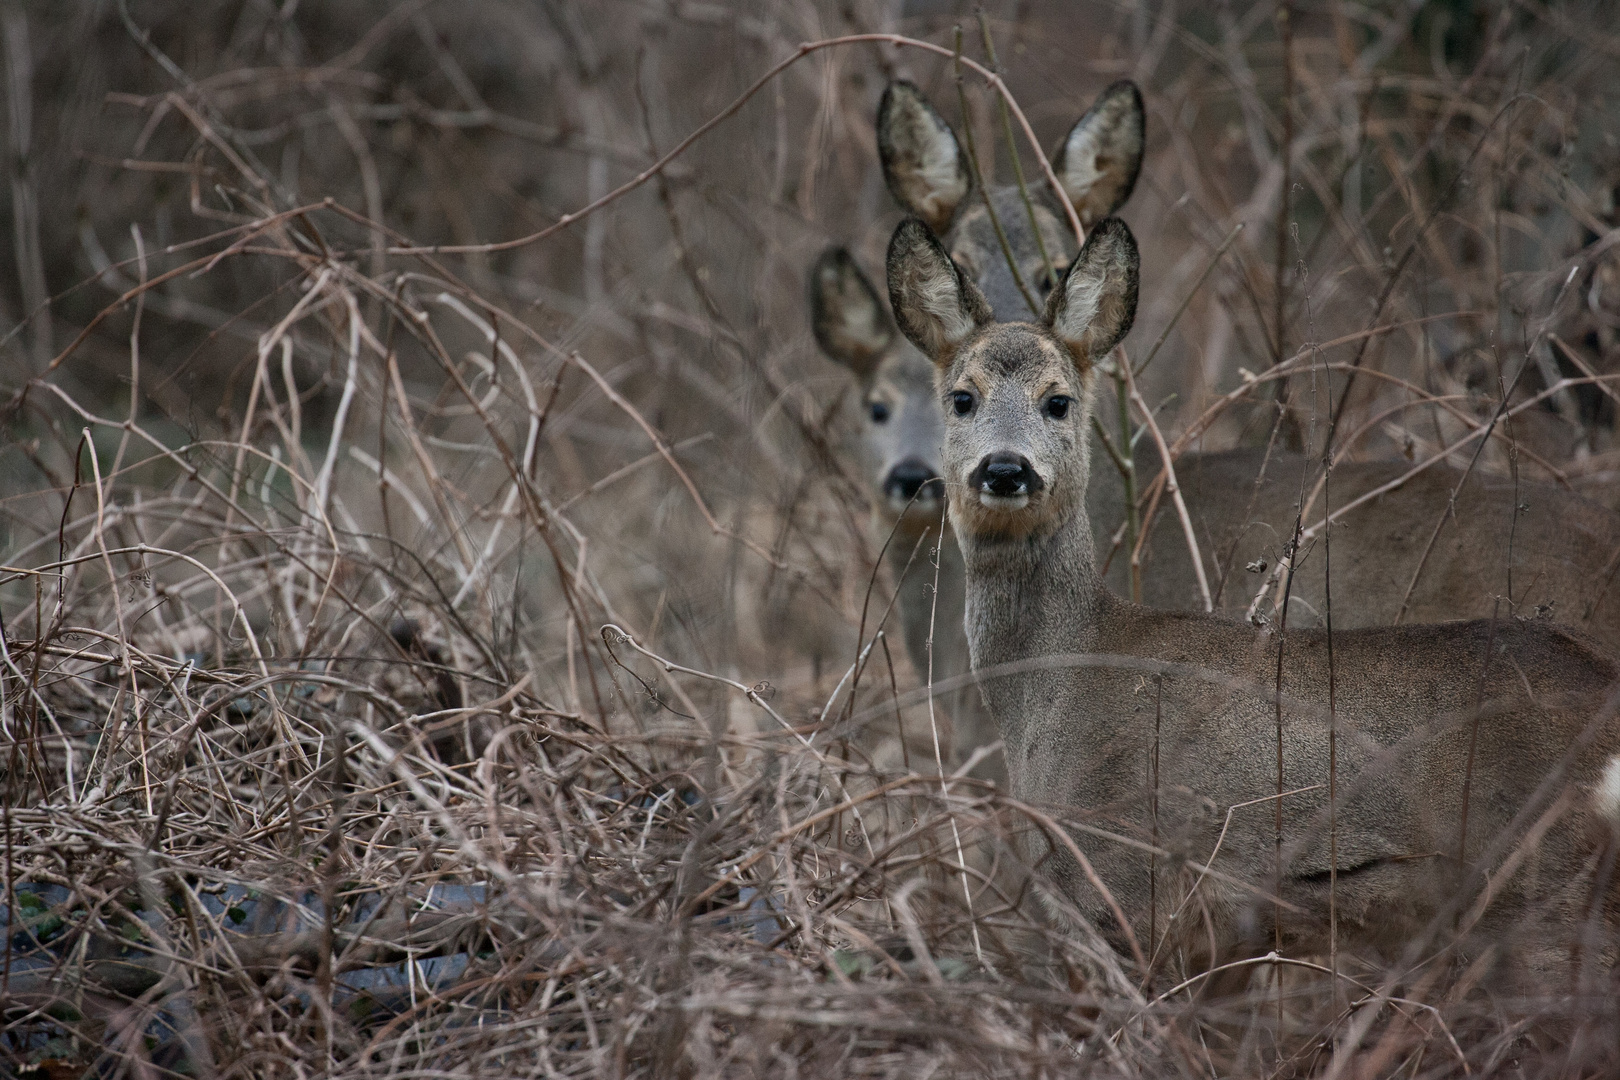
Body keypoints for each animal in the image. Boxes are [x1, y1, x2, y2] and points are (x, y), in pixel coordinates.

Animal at [887, 215, 1620, 990]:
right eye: (961, 397)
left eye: (1058, 400)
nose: (1005, 469)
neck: (1054, 679)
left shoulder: (1127, 879)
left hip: (1544, 891)